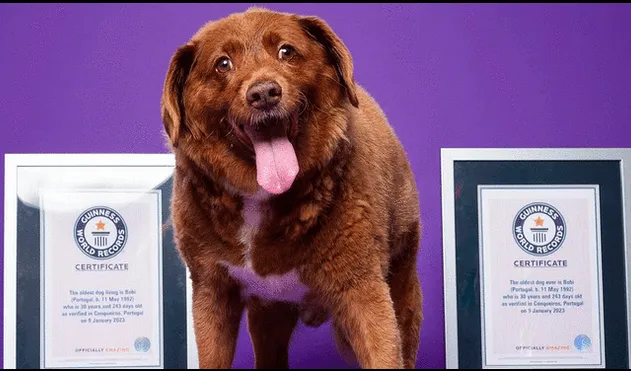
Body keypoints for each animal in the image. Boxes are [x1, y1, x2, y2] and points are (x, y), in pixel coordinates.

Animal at [160, 7, 422, 370]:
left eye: (287, 51)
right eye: (223, 63)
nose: (264, 93)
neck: (261, 197)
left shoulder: (363, 290)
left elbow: (382, 351)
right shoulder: (211, 290)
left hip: (402, 280)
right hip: (268, 314)